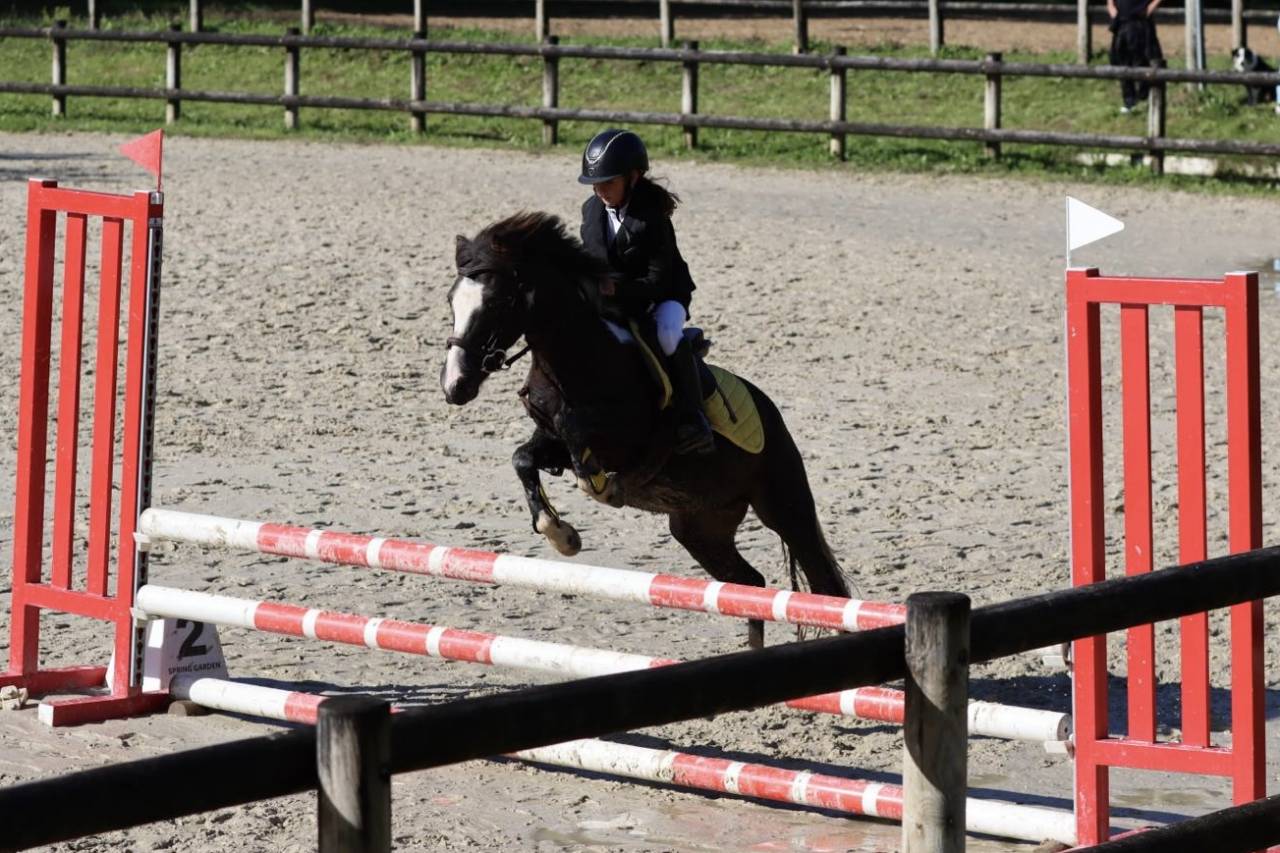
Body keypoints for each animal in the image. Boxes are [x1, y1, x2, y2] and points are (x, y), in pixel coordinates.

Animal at [441, 212, 855, 648]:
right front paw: (561, 535)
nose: (455, 386)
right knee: (748, 584)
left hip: (784, 505)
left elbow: (579, 438)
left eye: (496, 302)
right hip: (699, 527)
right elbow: (524, 458)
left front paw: (600, 491)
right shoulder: (551, 441)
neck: (576, 357)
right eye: (451, 300)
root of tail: (772, 413)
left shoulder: (626, 438)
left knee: (824, 585)